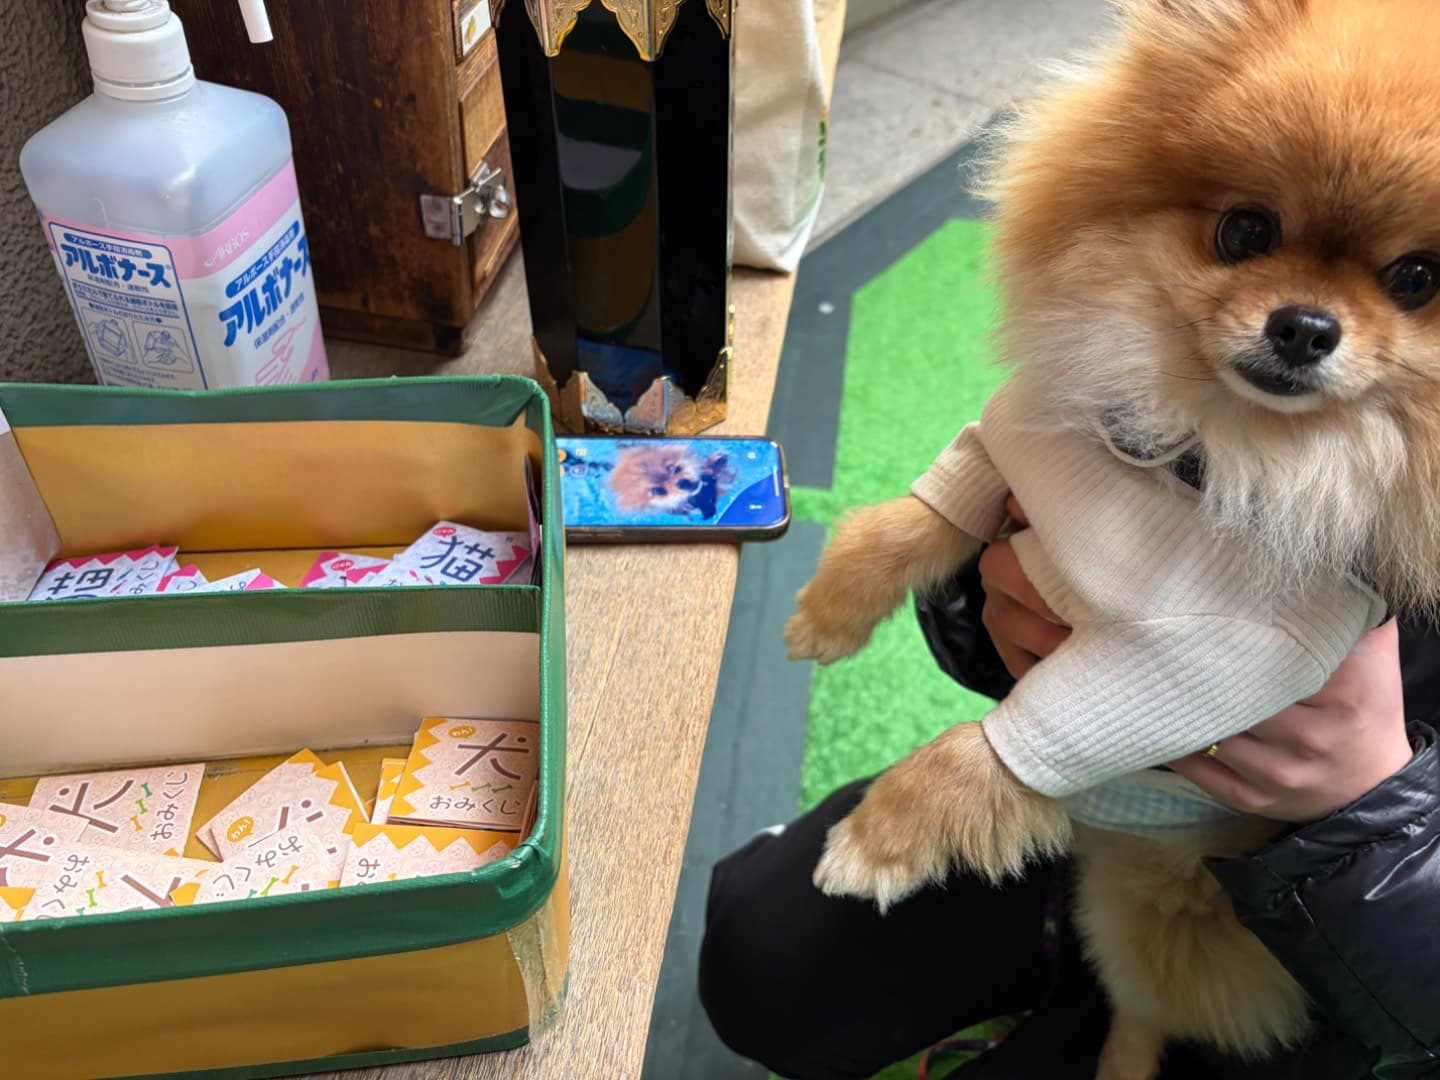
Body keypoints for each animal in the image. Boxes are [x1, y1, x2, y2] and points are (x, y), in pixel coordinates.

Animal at [784, 2, 1440, 1077]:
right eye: (1245, 229)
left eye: (1417, 278)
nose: (1305, 326)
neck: (1201, 451)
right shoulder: (1022, 452)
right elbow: (923, 515)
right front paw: (831, 611)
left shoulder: (1212, 661)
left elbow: (999, 741)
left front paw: (880, 838)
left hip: (1170, 914)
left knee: (1150, 1008)